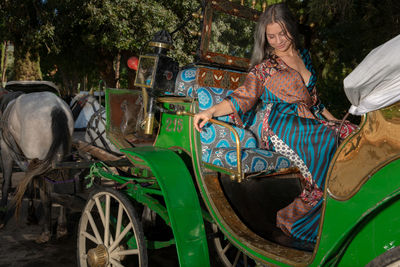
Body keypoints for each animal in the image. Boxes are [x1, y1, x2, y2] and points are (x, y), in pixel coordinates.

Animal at [0, 90, 74, 243]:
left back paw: (46, 232)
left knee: (46, 193)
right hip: (62, 158)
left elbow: (6, 182)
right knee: (62, 186)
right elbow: (29, 183)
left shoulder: (6, 150)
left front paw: (2, 217)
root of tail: (57, 108)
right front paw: (31, 215)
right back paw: (62, 227)